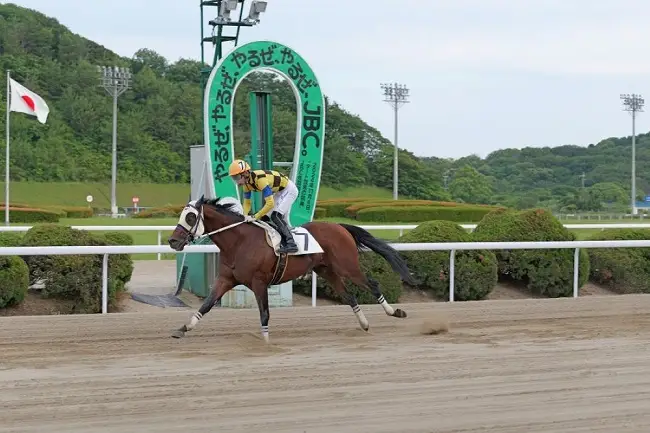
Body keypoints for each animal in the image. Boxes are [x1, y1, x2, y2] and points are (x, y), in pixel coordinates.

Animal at [165, 195, 412, 340]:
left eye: (190, 217)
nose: (173, 241)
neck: (239, 241)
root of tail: (340, 226)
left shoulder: (259, 282)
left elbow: (264, 312)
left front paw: (266, 340)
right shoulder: (226, 279)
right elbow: (207, 304)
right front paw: (183, 328)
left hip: (347, 266)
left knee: (372, 283)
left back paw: (395, 312)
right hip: (327, 270)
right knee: (349, 296)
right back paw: (364, 324)